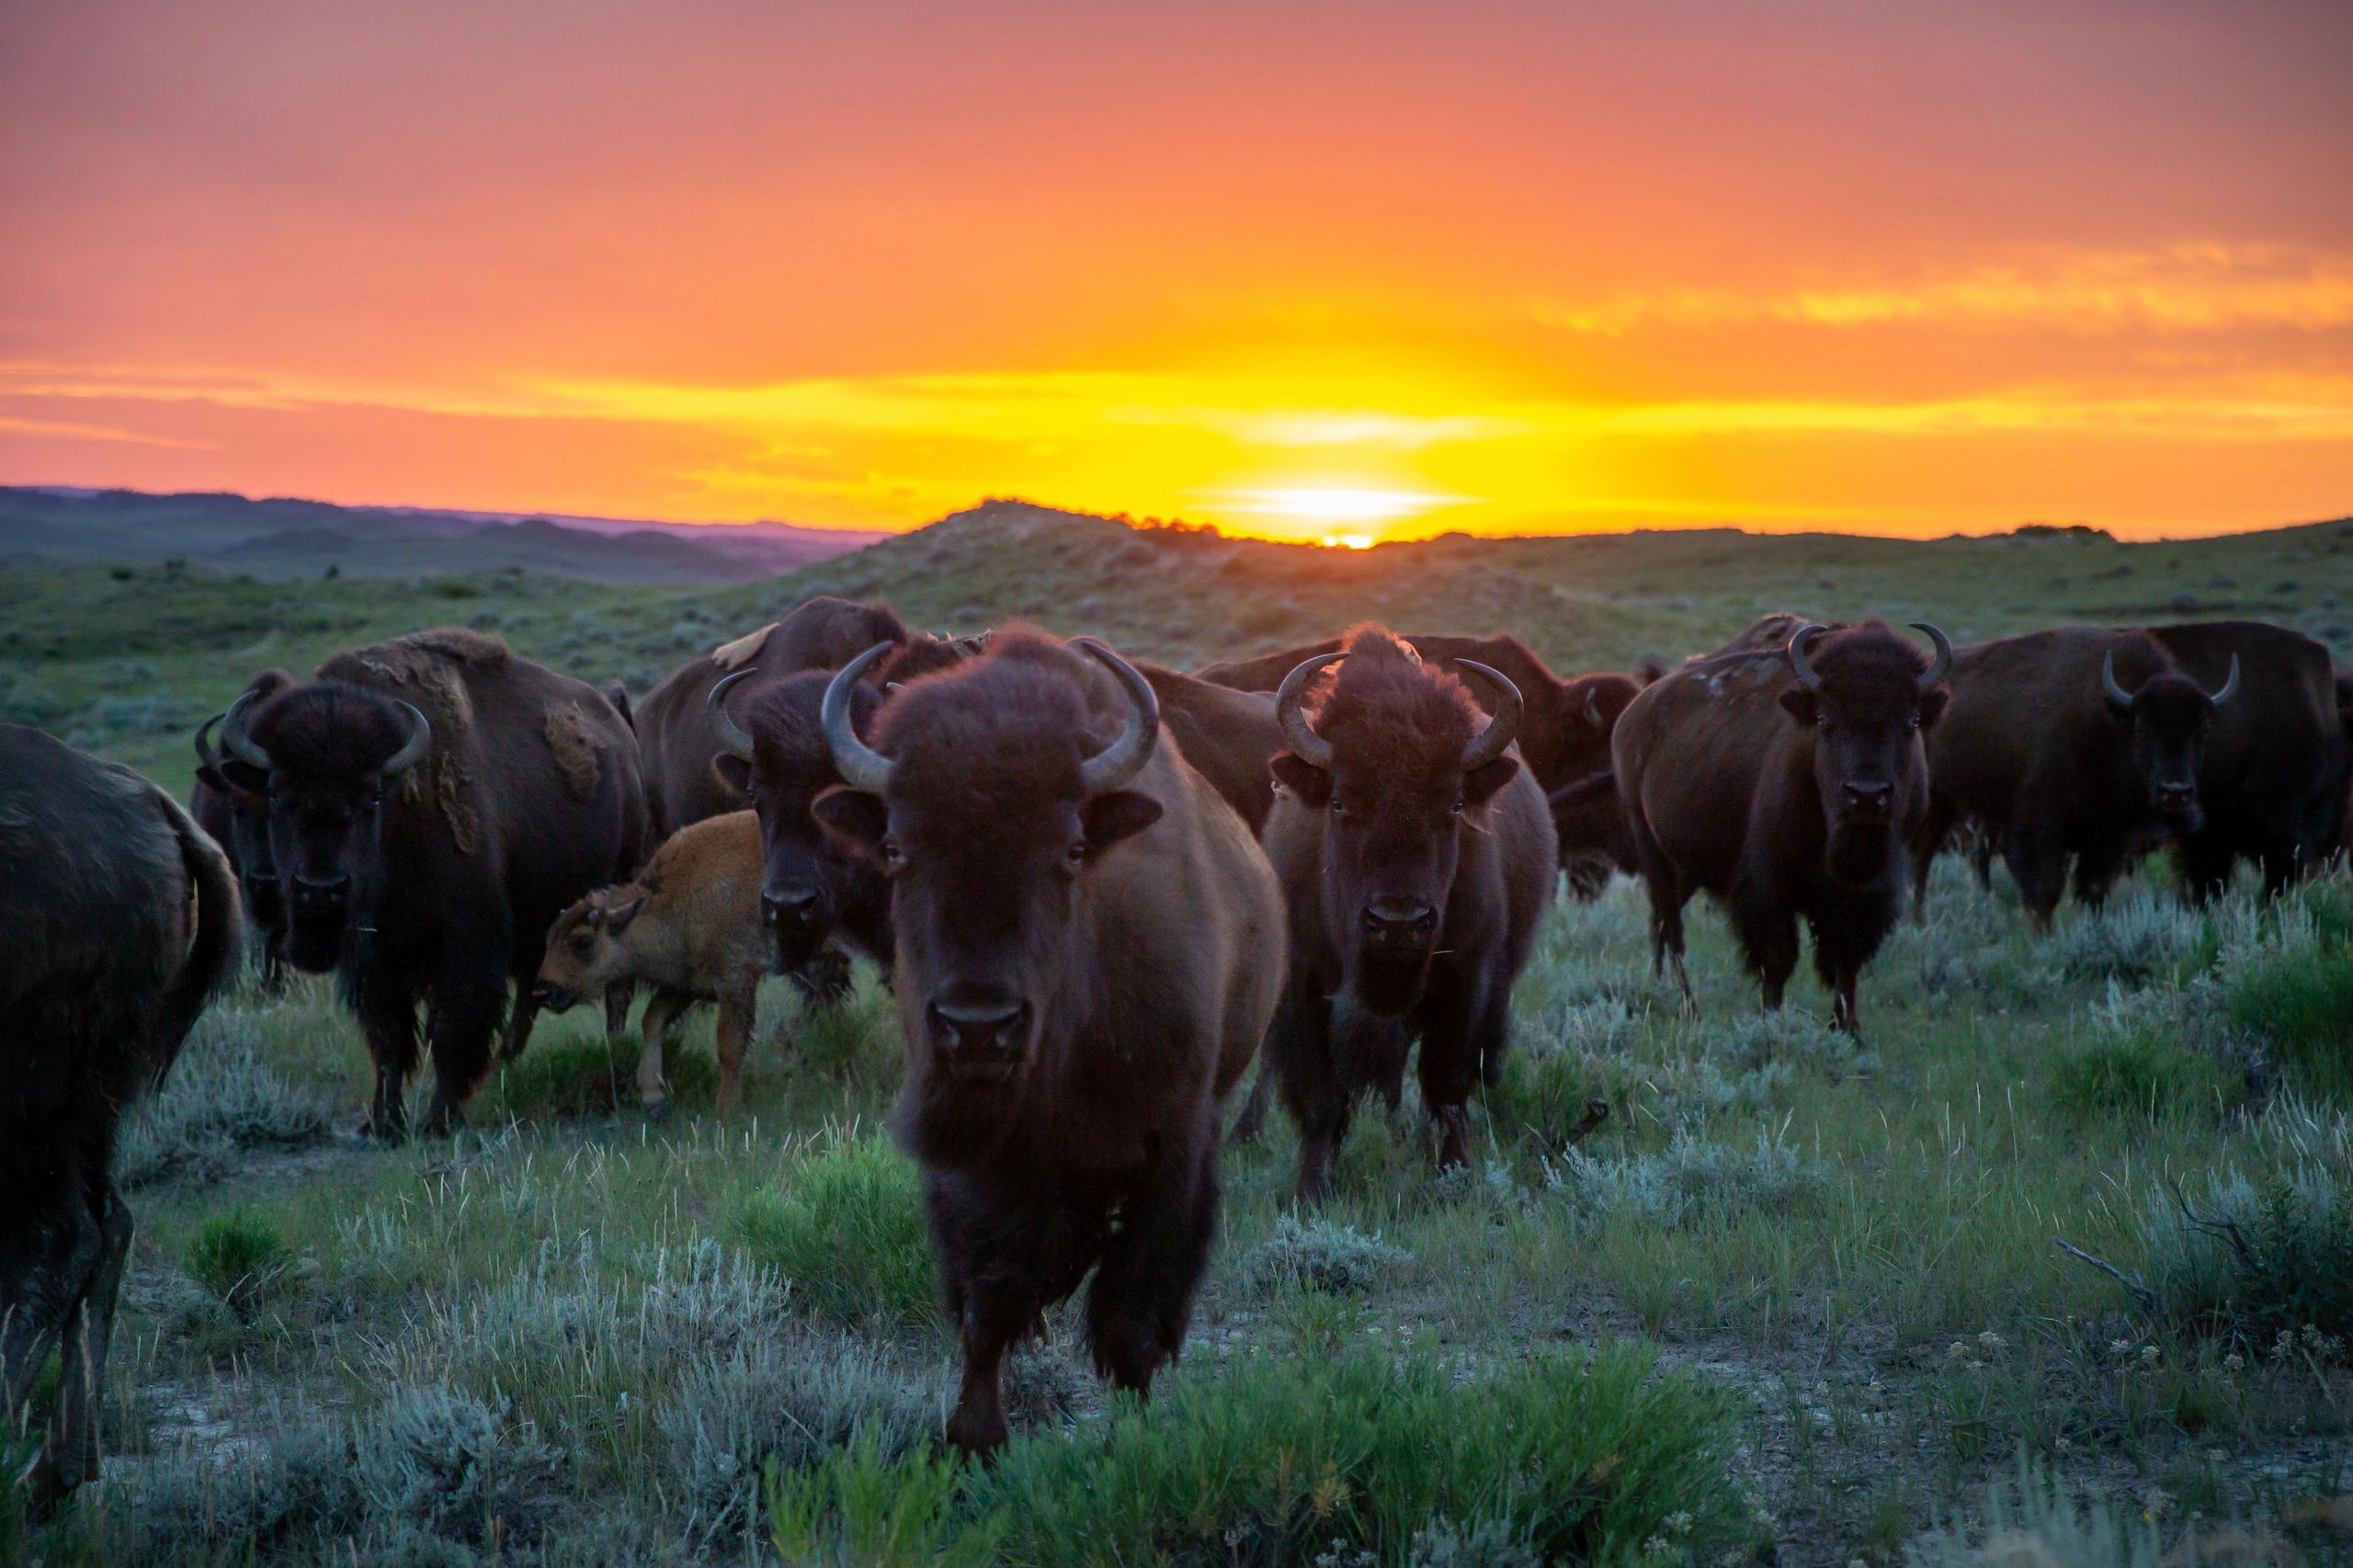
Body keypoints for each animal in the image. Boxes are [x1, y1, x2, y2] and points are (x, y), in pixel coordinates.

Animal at [3, 727, 241, 1513]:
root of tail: (156, 809)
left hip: (30, 1107)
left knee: (61, 1242)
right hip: (90, 1107)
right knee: (106, 1229)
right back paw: (52, 1476)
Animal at [215, 628, 646, 1137]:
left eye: (371, 795)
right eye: (277, 792)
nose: (321, 889)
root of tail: (621, 735)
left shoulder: (466, 943)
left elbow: (451, 1026)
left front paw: (440, 1118)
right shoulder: (372, 955)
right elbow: (389, 1033)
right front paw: (383, 1122)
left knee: (613, 989)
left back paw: (612, 1050)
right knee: (530, 994)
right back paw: (507, 1064)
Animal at [812, 630, 1285, 1454]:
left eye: (1069, 850)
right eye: (897, 848)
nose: (978, 1026)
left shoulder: (1174, 1147)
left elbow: (1132, 1318)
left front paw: (1133, 1439)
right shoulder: (979, 1163)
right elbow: (987, 1301)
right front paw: (975, 1439)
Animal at [1257, 626, 1556, 1204]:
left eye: (1456, 804)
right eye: (1340, 802)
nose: (1398, 922)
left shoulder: (1467, 980)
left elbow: (1446, 1083)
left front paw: (1454, 1175)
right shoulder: (1303, 990)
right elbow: (1321, 1098)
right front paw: (1310, 1192)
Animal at [1615, 618, 1951, 1034]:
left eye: (1911, 721)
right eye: (1824, 719)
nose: (1867, 794)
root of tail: (1634, 712)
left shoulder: (1869, 892)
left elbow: (1846, 961)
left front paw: (1847, 1029)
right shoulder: (1769, 887)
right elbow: (1777, 959)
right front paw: (1771, 1023)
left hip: (1687, 867)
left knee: (1660, 924)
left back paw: (1659, 988)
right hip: (1652, 850)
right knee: (1671, 928)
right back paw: (1690, 1008)